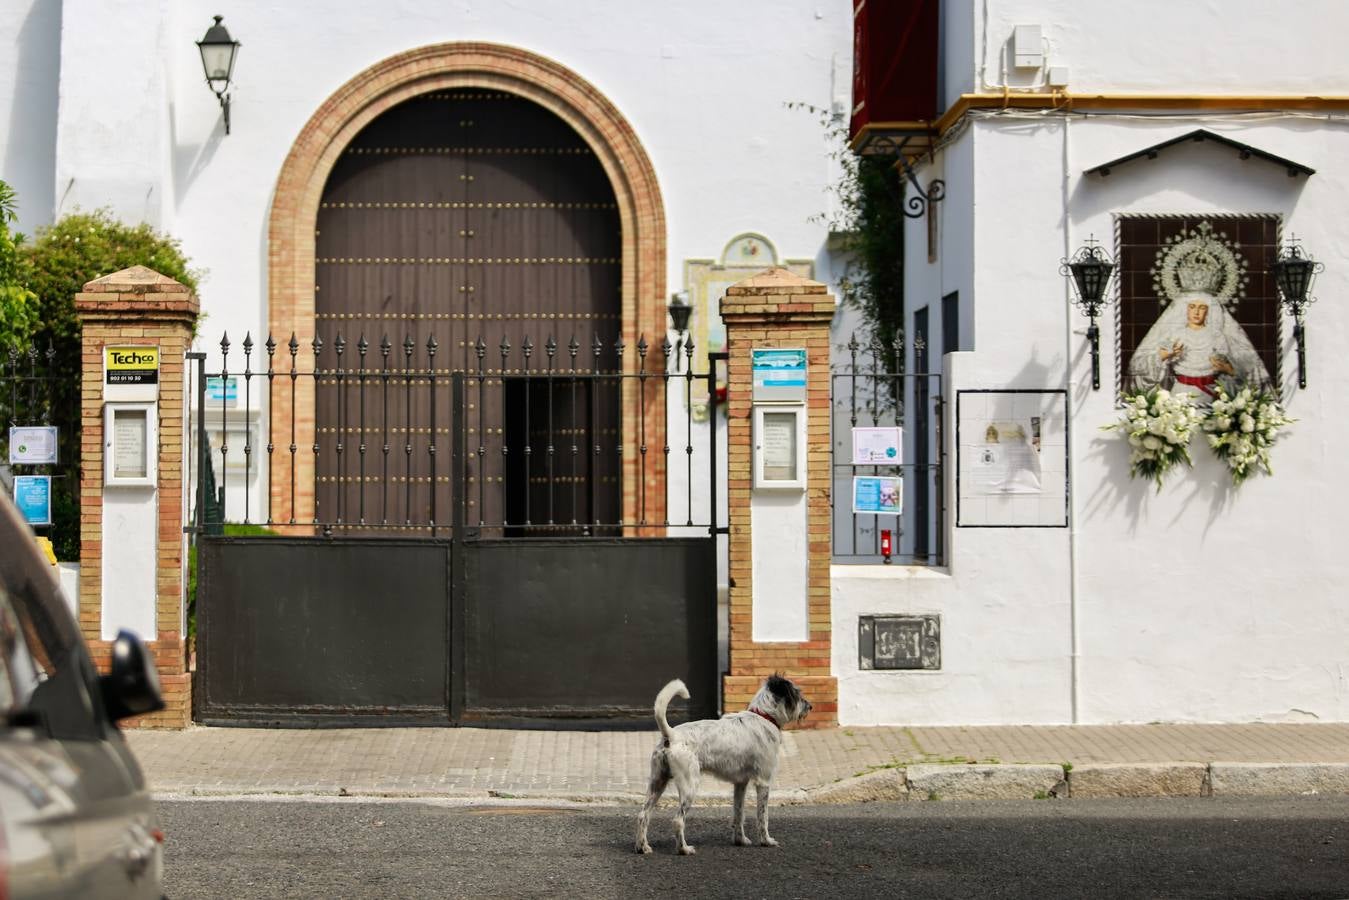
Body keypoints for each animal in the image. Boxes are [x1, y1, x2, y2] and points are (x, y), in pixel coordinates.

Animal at [634, 674, 809, 858]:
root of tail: (672, 735)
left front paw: (740, 840)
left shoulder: (740, 784)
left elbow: (739, 814)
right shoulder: (763, 782)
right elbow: (763, 816)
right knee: (678, 820)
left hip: (657, 783)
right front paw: (766, 841)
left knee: (643, 815)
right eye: (796, 693)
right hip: (689, 787)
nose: (809, 706)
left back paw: (642, 847)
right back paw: (684, 849)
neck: (763, 716)